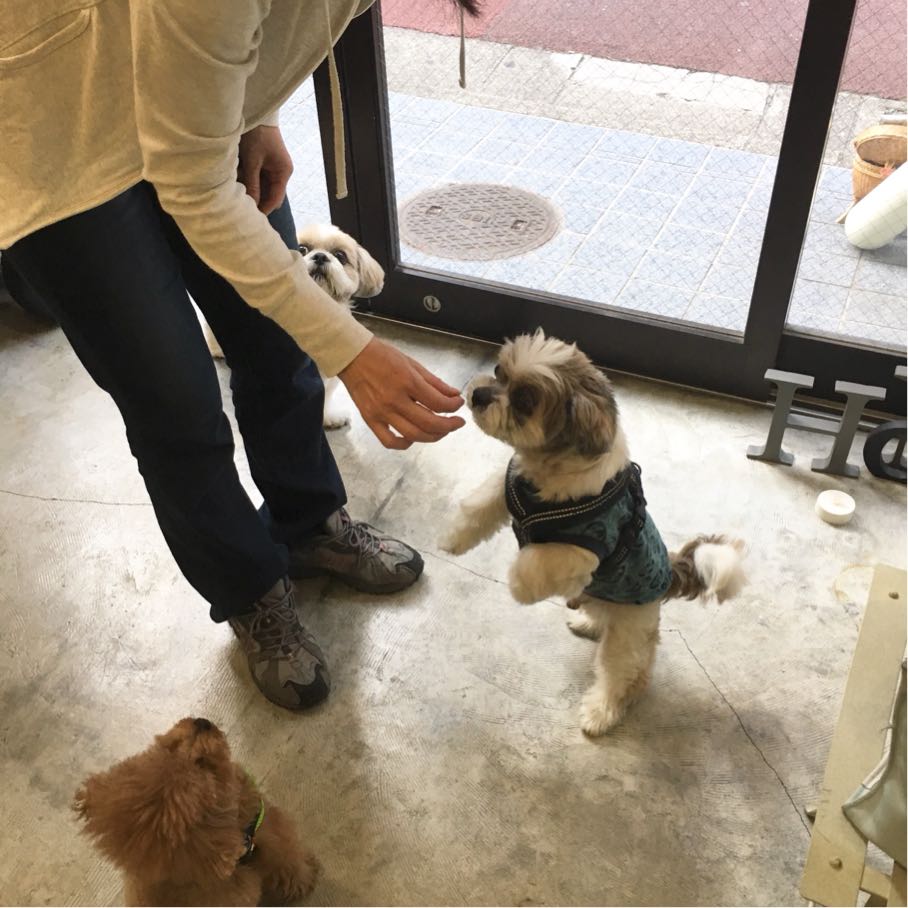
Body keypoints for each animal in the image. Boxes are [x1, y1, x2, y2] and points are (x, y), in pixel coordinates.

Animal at [74, 717, 319, 906]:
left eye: (171, 747)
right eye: (201, 763)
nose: (201, 723)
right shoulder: (275, 838)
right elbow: (290, 865)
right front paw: (307, 878)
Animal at [202, 223, 385, 429]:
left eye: (340, 255)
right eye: (302, 248)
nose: (320, 256)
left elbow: (325, 396)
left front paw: (328, 417)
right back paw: (216, 349)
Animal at [440, 330, 745, 737]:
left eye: (524, 400)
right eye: (499, 371)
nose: (480, 395)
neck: (548, 476)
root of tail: (667, 575)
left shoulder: (585, 548)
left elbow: (536, 560)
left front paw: (520, 587)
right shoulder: (510, 490)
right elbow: (480, 505)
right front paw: (454, 537)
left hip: (628, 636)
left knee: (625, 676)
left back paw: (601, 711)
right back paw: (587, 621)